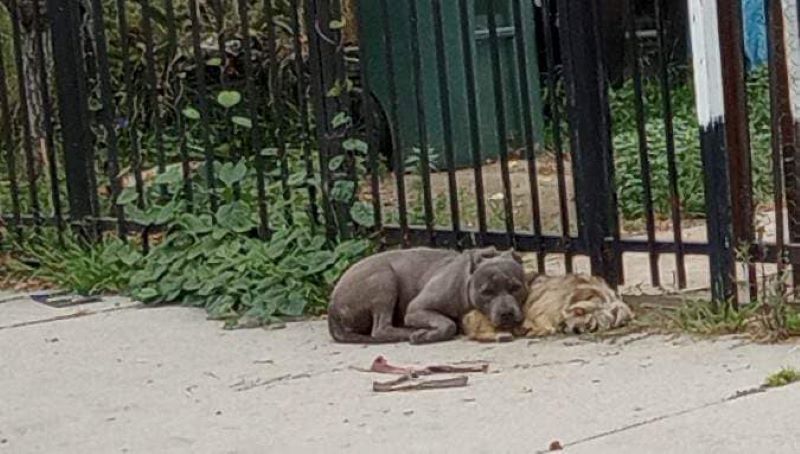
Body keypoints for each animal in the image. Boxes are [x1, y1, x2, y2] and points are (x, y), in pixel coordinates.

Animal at [328, 248, 528, 344]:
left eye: (516, 287)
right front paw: (427, 335)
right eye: (486, 292)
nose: (506, 313)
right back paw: (412, 332)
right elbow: (448, 324)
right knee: (380, 329)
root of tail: (332, 306)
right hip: (384, 279)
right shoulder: (416, 309)